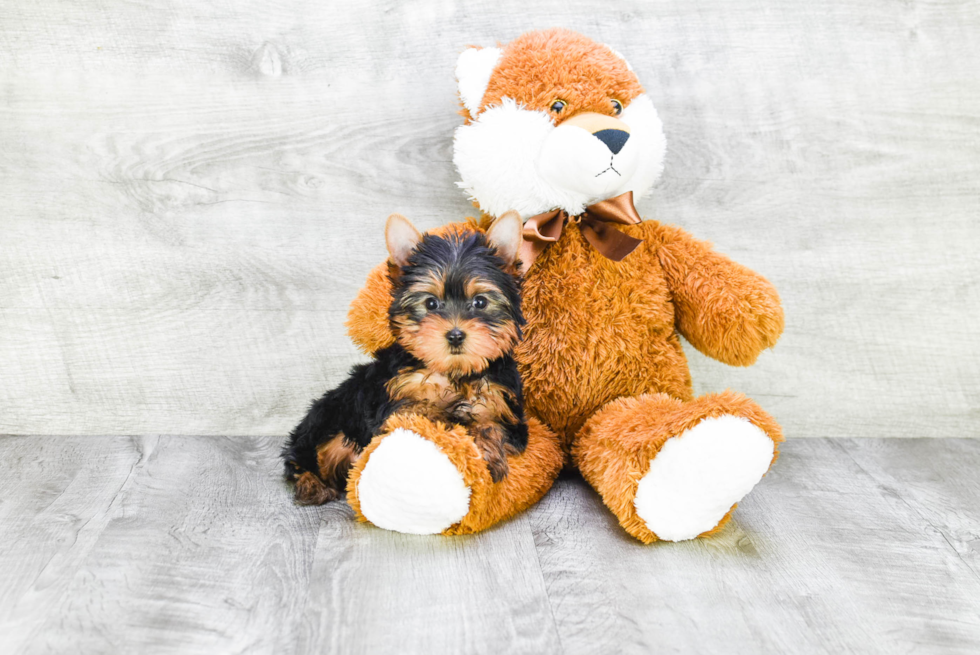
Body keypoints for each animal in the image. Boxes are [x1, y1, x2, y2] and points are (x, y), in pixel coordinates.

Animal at [282, 213, 528, 504]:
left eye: (480, 302)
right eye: (431, 304)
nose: (455, 335)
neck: (454, 372)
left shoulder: (505, 408)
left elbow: (491, 425)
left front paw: (486, 452)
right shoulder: (394, 403)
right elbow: (420, 412)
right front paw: (449, 419)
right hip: (330, 416)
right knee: (304, 454)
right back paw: (311, 484)